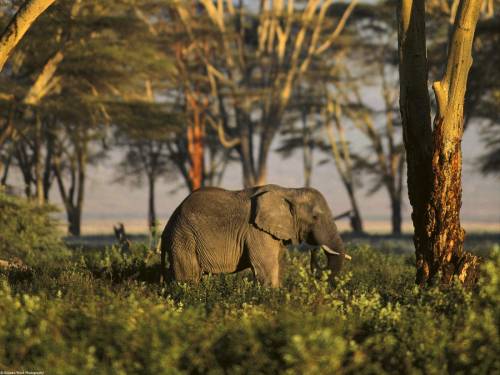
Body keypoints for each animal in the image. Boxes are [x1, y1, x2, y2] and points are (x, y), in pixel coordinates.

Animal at [160, 185, 348, 288]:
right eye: (315, 217)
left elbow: (277, 267)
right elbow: (267, 270)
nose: (315, 250)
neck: (290, 191)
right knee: (188, 278)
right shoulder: (257, 231)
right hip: (184, 238)